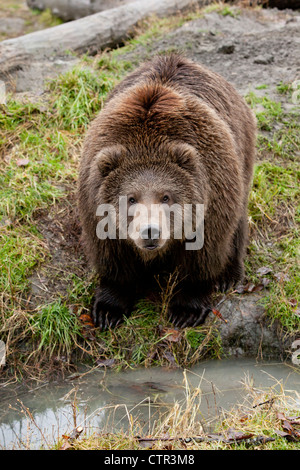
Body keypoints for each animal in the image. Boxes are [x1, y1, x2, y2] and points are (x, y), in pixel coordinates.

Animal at [78, 52, 255, 330]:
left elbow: (202, 254)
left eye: (166, 196)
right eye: (131, 198)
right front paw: (108, 309)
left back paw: (228, 276)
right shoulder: (94, 197)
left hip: (241, 154)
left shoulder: (210, 194)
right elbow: (112, 256)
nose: (150, 231)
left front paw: (186, 309)